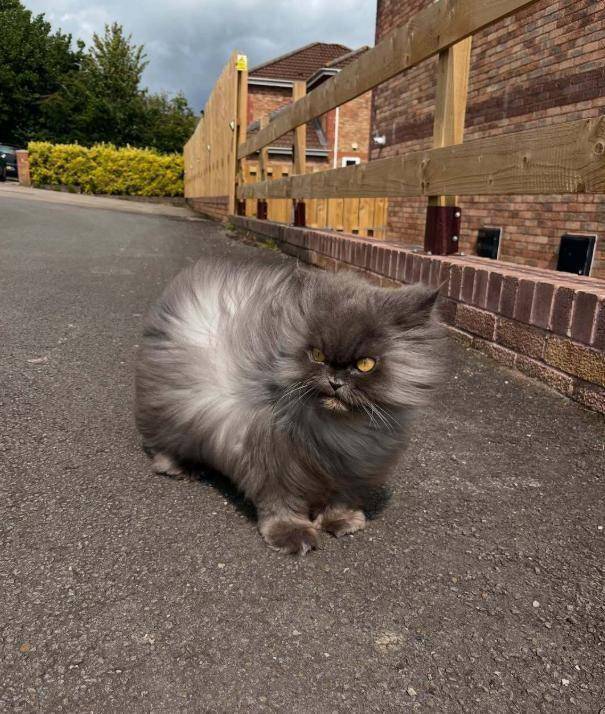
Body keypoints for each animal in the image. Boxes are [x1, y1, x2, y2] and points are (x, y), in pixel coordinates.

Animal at [135, 255, 444, 555]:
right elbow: (282, 505)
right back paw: (181, 467)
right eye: (317, 355)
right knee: (162, 446)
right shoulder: (275, 463)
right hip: (170, 414)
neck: (340, 430)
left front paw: (342, 521)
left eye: (365, 364)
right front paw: (293, 536)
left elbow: (341, 500)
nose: (335, 380)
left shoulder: (350, 471)